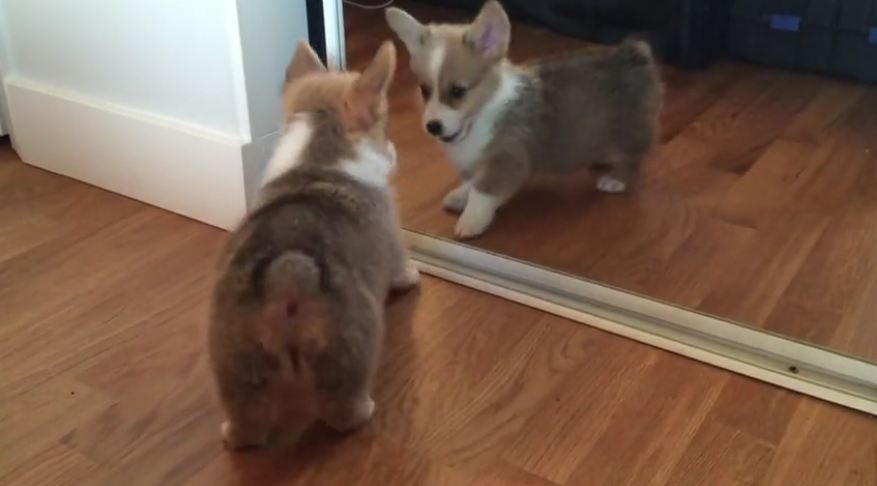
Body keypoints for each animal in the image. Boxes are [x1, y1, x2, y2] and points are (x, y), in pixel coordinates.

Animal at [209, 39, 420, 450]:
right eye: (383, 125)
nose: (395, 151)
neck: (317, 155)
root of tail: (287, 274)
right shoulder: (393, 227)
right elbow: (402, 262)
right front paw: (412, 277)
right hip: (349, 348)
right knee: (341, 410)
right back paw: (364, 411)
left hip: (236, 361)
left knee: (247, 422)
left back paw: (232, 434)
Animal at [386, 0, 660, 239]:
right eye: (424, 90)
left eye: (458, 91)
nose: (433, 126)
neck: (482, 117)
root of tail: (633, 54)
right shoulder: (476, 162)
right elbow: (470, 183)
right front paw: (461, 197)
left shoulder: (506, 162)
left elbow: (482, 192)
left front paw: (470, 221)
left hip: (630, 131)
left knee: (633, 158)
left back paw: (615, 180)